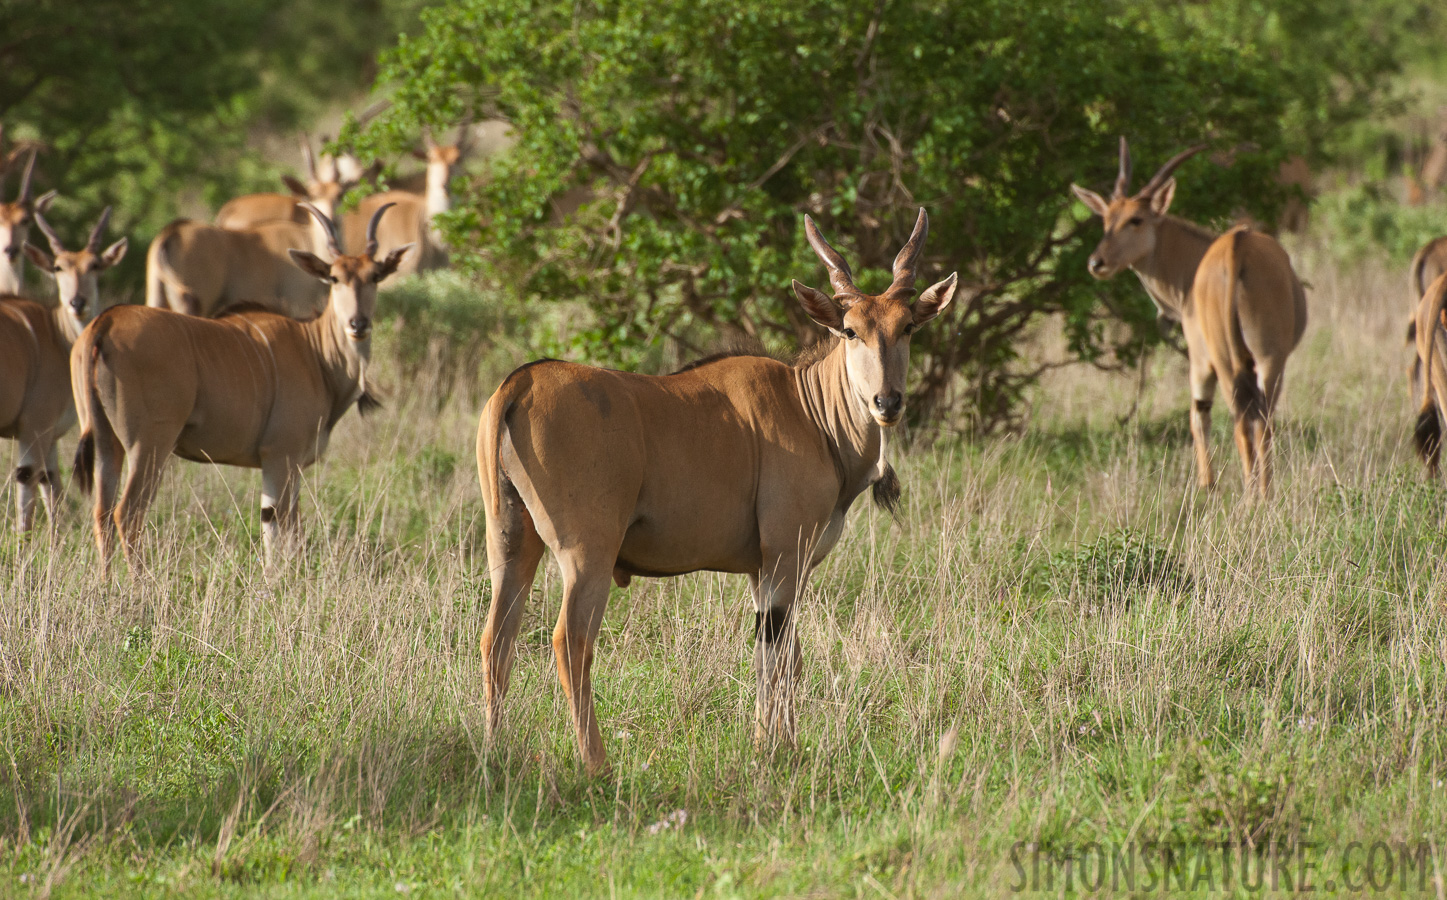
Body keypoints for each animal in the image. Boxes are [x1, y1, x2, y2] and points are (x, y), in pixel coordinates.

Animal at [1, 209, 124, 535]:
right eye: (58, 268)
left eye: (94, 265)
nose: (78, 302)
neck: (57, 333)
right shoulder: (34, 429)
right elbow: (28, 488)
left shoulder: (50, 437)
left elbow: (51, 486)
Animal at [76, 202, 410, 570]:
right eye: (334, 278)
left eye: (375, 276)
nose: (358, 324)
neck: (315, 352)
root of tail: (105, 323)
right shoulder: (282, 456)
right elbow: (283, 528)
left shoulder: (283, 464)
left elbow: (274, 524)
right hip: (149, 444)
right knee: (127, 513)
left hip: (106, 441)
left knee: (102, 512)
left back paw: (107, 581)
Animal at [477, 206, 960, 775]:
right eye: (849, 330)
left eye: (907, 327)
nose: (888, 401)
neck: (809, 408)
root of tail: (519, 384)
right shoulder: (784, 559)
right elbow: (776, 657)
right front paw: (771, 749)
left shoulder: (762, 569)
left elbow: (785, 657)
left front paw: (778, 743)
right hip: (586, 555)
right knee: (569, 641)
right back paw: (596, 764)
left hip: (510, 546)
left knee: (497, 638)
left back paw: (493, 750)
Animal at [1070, 139, 1308, 500]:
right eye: (1106, 219)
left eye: (1135, 219)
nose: (1096, 262)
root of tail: (1236, 249)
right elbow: (1203, 417)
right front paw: (1208, 486)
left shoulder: (1199, 360)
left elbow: (1198, 418)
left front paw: (1207, 486)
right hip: (1258, 360)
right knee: (1253, 421)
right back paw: (1259, 496)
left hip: (1245, 361)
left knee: (1246, 421)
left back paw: (1257, 495)